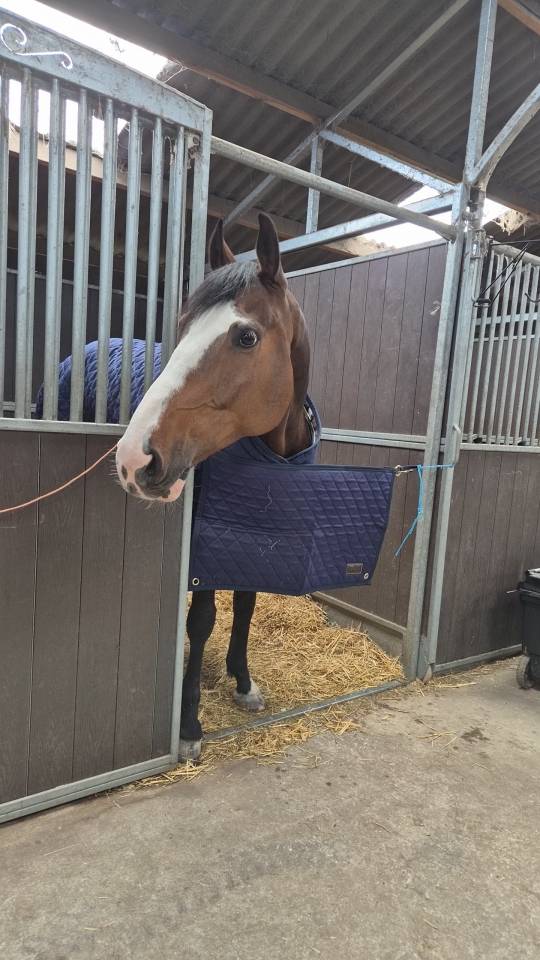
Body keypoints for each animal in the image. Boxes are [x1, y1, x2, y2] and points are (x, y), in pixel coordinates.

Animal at [116, 213, 313, 762]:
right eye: (183, 328)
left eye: (246, 337)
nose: (134, 457)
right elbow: (201, 619)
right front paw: (188, 723)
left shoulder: (258, 534)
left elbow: (246, 601)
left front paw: (242, 681)